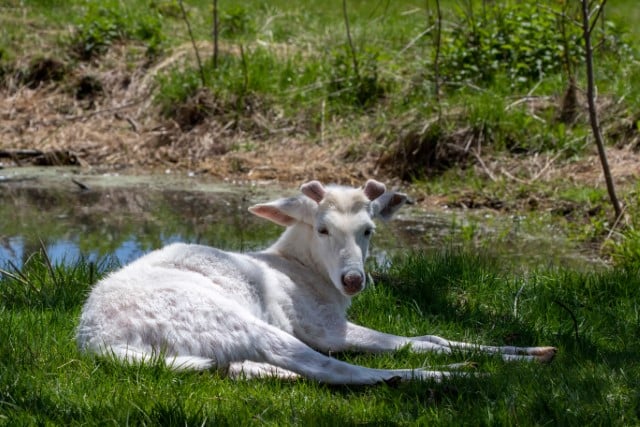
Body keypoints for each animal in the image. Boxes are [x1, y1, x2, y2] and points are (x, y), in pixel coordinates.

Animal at [76, 179, 556, 386]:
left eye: (369, 230)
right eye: (322, 228)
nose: (354, 280)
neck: (303, 271)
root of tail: (100, 340)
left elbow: (431, 334)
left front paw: (533, 349)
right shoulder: (323, 326)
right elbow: (420, 341)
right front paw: (514, 358)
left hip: (214, 343)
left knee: (240, 368)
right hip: (230, 319)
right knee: (337, 370)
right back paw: (450, 375)